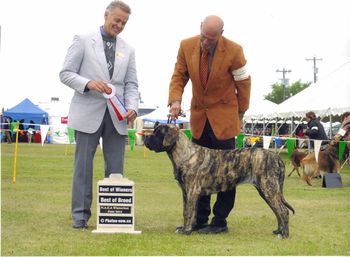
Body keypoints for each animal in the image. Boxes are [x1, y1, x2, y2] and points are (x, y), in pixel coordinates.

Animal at [145, 124, 296, 238]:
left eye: (158, 133)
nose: (146, 137)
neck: (186, 154)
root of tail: (276, 157)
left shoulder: (192, 191)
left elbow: (188, 212)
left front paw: (186, 231)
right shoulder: (186, 192)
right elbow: (189, 212)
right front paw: (188, 228)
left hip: (268, 188)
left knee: (283, 211)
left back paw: (284, 235)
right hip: (267, 190)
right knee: (278, 211)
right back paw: (278, 231)